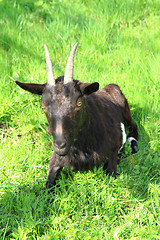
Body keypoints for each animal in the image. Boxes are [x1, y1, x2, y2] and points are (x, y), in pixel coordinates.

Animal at [15, 44, 138, 188]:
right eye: (43, 106)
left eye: (79, 102)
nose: (60, 144)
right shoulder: (55, 159)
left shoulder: (113, 149)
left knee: (134, 126)